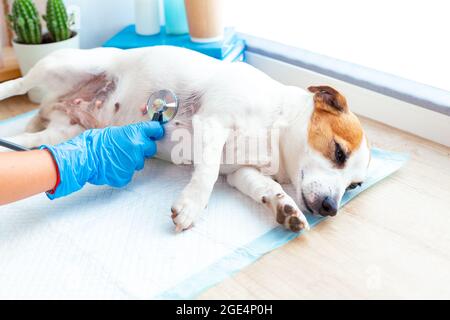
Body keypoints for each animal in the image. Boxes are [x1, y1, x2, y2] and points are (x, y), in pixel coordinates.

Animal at [0, 45, 370, 232]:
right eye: (338, 152)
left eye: (353, 186)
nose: (330, 208)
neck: (274, 129)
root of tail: (53, 102)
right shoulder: (213, 123)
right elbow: (206, 175)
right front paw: (191, 207)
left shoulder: (241, 174)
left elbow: (267, 188)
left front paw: (285, 208)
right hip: (60, 68)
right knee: (18, 85)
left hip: (67, 132)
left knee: (34, 143)